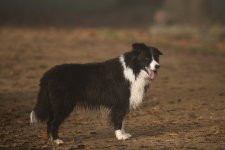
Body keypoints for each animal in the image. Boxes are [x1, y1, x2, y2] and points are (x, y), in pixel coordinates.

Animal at [30, 43, 162, 144]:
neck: (133, 69)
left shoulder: (123, 104)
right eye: (146, 58)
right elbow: (118, 120)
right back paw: (57, 140)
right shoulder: (120, 102)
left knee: (49, 121)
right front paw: (120, 136)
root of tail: (47, 74)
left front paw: (124, 134)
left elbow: (123, 120)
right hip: (64, 104)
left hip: (55, 104)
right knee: (53, 122)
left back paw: (51, 139)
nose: (158, 66)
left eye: (156, 58)